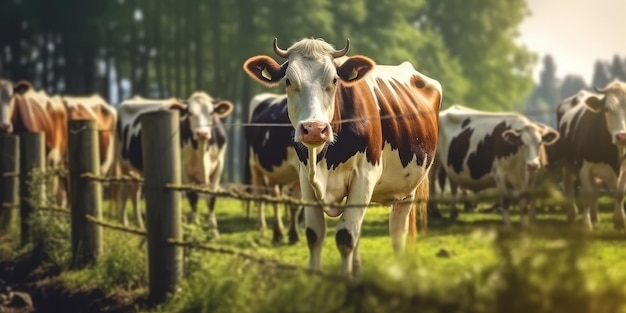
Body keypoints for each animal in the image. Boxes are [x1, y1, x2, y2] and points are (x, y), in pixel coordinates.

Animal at [113, 92, 233, 234]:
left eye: (211, 112)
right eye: (189, 113)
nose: (202, 133)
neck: (202, 151)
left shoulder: (219, 166)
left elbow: (211, 199)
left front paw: (213, 232)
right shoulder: (183, 169)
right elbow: (193, 198)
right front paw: (194, 227)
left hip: (136, 170)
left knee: (134, 192)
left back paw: (139, 225)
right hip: (123, 164)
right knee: (124, 191)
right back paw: (123, 224)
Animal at [244, 92, 302, 244]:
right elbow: (294, 204)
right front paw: (294, 234)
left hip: (274, 173)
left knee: (276, 199)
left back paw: (278, 231)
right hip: (254, 166)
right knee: (262, 197)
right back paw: (266, 228)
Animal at [432, 104, 560, 224]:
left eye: (540, 143)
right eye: (523, 143)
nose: (532, 165)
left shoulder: (532, 179)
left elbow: (525, 203)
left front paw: (525, 225)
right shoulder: (500, 174)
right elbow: (506, 200)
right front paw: (508, 225)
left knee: (453, 183)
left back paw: (454, 213)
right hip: (435, 159)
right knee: (432, 182)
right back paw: (435, 212)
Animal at [552, 79, 624, 230]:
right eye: (607, 109)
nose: (622, 136)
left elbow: (620, 194)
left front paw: (620, 222)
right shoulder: (583, 167)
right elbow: (586, 196)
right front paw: (586, 226)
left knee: (595, 189)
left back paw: (595, 216)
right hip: (567, 163)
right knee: (569, 187)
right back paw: (572, 215)